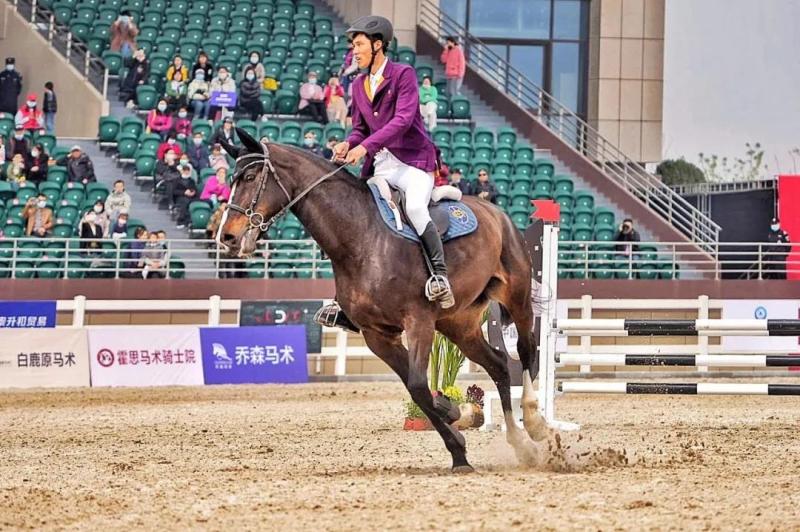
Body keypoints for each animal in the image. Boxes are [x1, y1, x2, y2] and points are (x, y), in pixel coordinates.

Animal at [216, 128, 550, 473]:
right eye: (232, 179)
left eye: (250, 177)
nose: (226, 236)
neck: (361, 238)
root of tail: (496, 211)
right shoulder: (377, 335)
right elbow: (419, 392)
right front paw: (454, 427)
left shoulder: (418, 321)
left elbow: (417, 385)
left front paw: (457, 440)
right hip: (459, 325)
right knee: (498, 365)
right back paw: (520, 443)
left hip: (517, 298)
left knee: (525, 350)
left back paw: (534, 423)